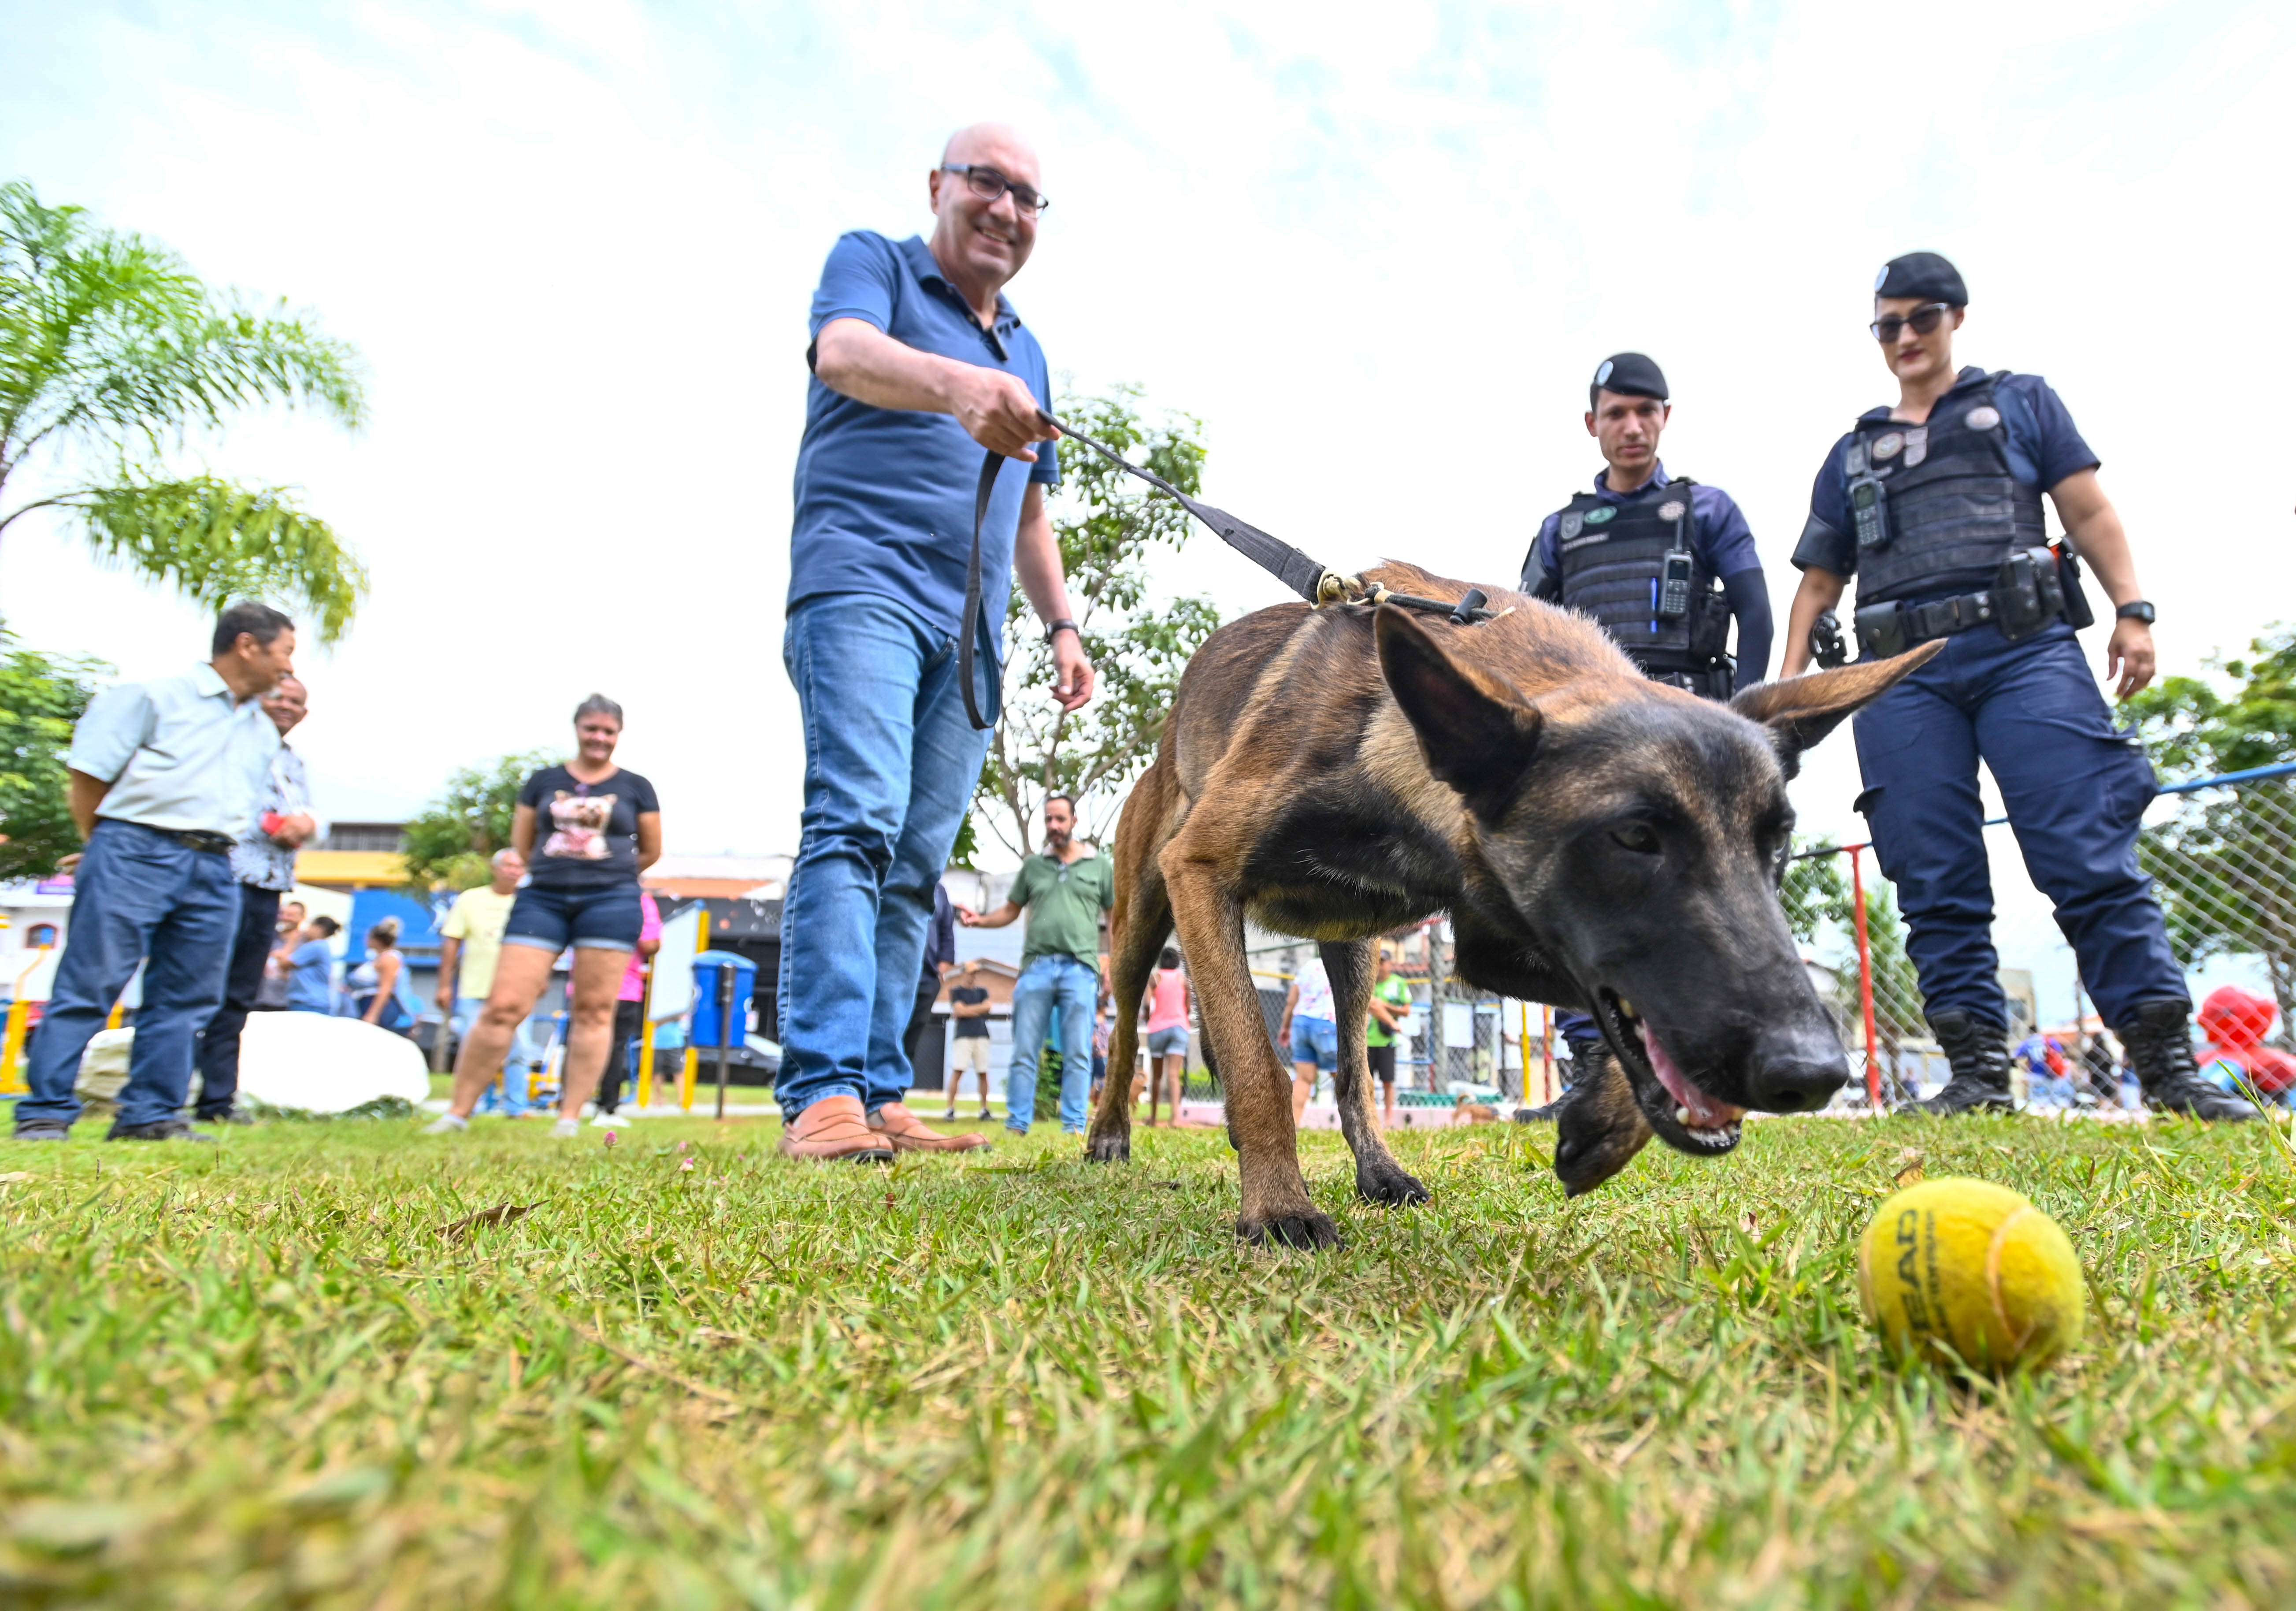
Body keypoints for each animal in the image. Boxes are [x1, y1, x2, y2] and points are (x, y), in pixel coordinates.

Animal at [1083, 562, 1929, 1257]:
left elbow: (1620, 1022)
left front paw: (1601, 1124)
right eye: (1633, 836)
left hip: (1349, 949)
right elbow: (1258, 1068)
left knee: (1353, 1075)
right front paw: (1276, 1208)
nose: (1813, 1074)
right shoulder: (1201, 872)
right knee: (1125, 1033)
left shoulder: (1493, 943)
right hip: (1148, 923)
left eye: (1776, 841)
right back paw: (1109, 1135)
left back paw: (1378, 1170)